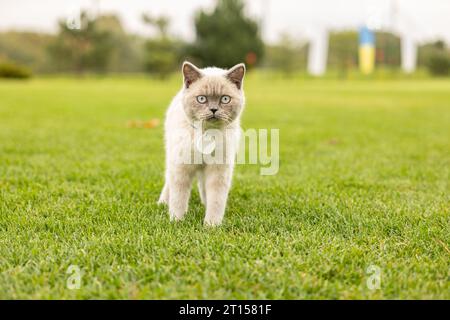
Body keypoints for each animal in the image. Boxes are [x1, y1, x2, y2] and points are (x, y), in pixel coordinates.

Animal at [158, 60, 246, 225]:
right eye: (201, 99)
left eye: (225, 99)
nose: (213, 109)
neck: (207, 134)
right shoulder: (181, 167)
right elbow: (178, 197)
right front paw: (176, 221)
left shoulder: (218, 170)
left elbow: (216, 200)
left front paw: (211, 224)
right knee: (169, 181)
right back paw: (162, 203)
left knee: (203, 185)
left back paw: (204, 203)